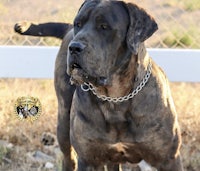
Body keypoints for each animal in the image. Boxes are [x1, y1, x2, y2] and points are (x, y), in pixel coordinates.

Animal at [14, 0, 183, 170]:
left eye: (104, 26)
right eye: (78, 24)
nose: (74, 47)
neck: (115, 99)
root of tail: (68, 29)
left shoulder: (169, 159)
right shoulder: (89, 159)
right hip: (63, 123)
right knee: (68, 157)